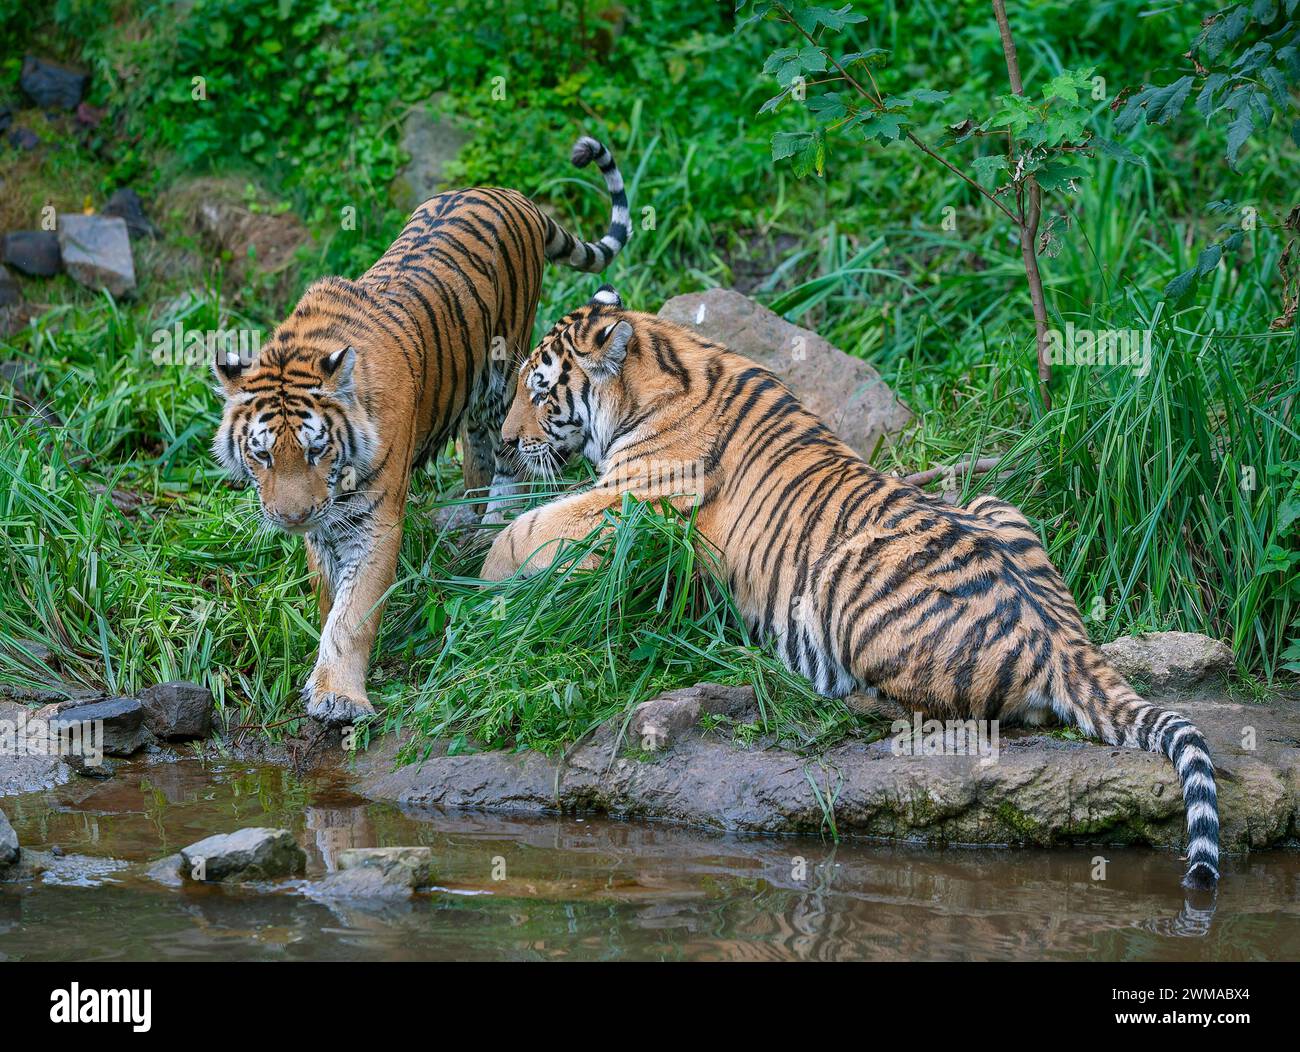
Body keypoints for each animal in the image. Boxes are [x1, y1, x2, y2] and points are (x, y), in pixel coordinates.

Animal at [211, 135, 629, 728]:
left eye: (317, 450)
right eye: (263, 455)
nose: (291, 518)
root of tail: (506, 192)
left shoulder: (374, 521)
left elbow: (354, 612)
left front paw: (338, 696)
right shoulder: (322, 525)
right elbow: (329, 594)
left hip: (503, 373)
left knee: (510, 457)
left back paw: (489, 528)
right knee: (478, 453)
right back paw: (470, 517)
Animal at [483, 284, 1222, 884]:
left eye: (540, 388)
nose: (504, 441)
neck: (661, 363)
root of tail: (1065, 643)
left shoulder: (635, 507)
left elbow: (528, 527)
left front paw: (484, 584)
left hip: (843, 576)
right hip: (991, 502)